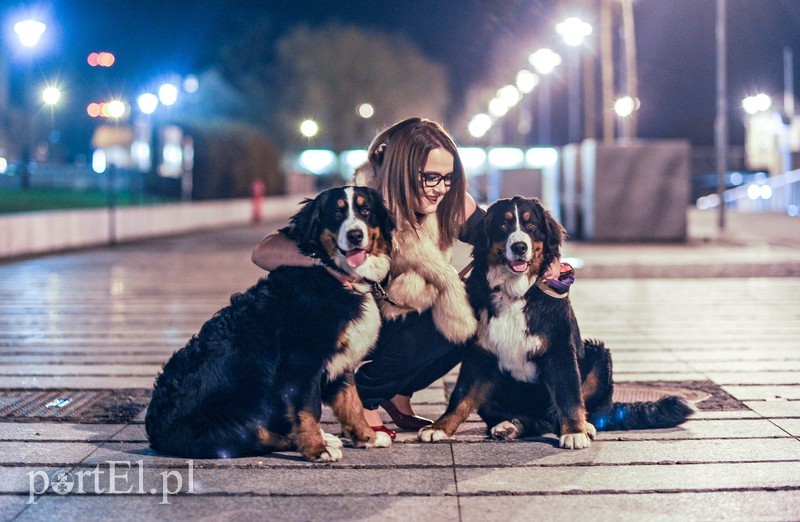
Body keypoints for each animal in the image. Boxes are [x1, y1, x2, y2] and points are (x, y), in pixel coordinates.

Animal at [145, 186, 396, 460]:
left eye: (366, 210)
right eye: (337, 213)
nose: (355, 235)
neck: (334, 274)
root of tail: (155, 433)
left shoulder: (341, 360)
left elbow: (352, 402)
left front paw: (367, 437)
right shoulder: (304, 362)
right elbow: (310, 409)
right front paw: (317, 449)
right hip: (232, 418)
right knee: (259, 435)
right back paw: (319, 441)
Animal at [418, 195, 692, 446]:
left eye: (530, 225)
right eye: (503, 225)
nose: (519, 247)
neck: (515, 292)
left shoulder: (560, 349)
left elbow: (569, 396)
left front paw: (575, 432)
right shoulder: (479, 352)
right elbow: (461, 395)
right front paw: (439, 427)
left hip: (598, 354)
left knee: (582, 411)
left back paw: (584, 425)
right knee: (533, 420)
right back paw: (509, 426)